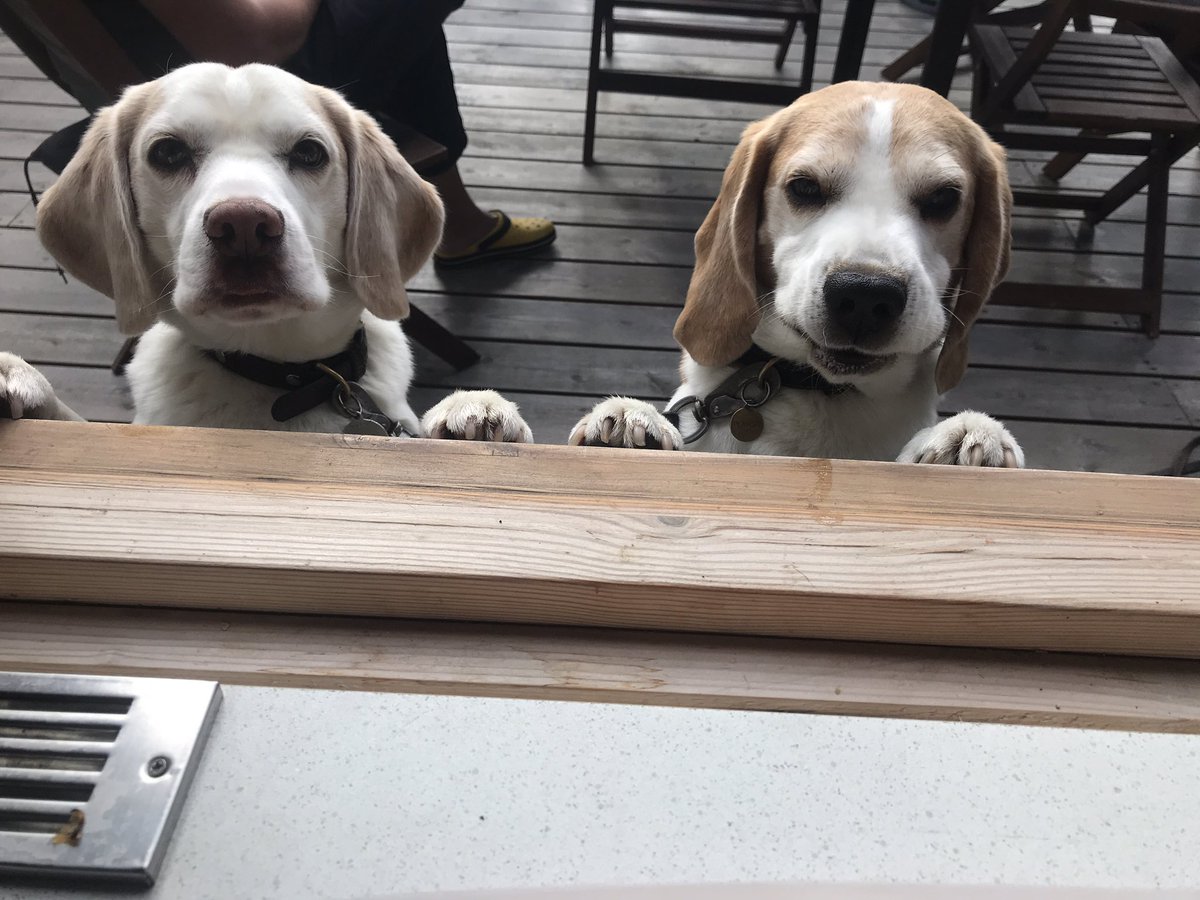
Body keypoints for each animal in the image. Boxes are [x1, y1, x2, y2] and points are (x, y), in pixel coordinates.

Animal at [571, 82, 1022, 472]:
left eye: (943, 198)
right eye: (804, 187)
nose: (865, 296)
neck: (820, 391)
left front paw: (967, 440)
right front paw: (630, 425)